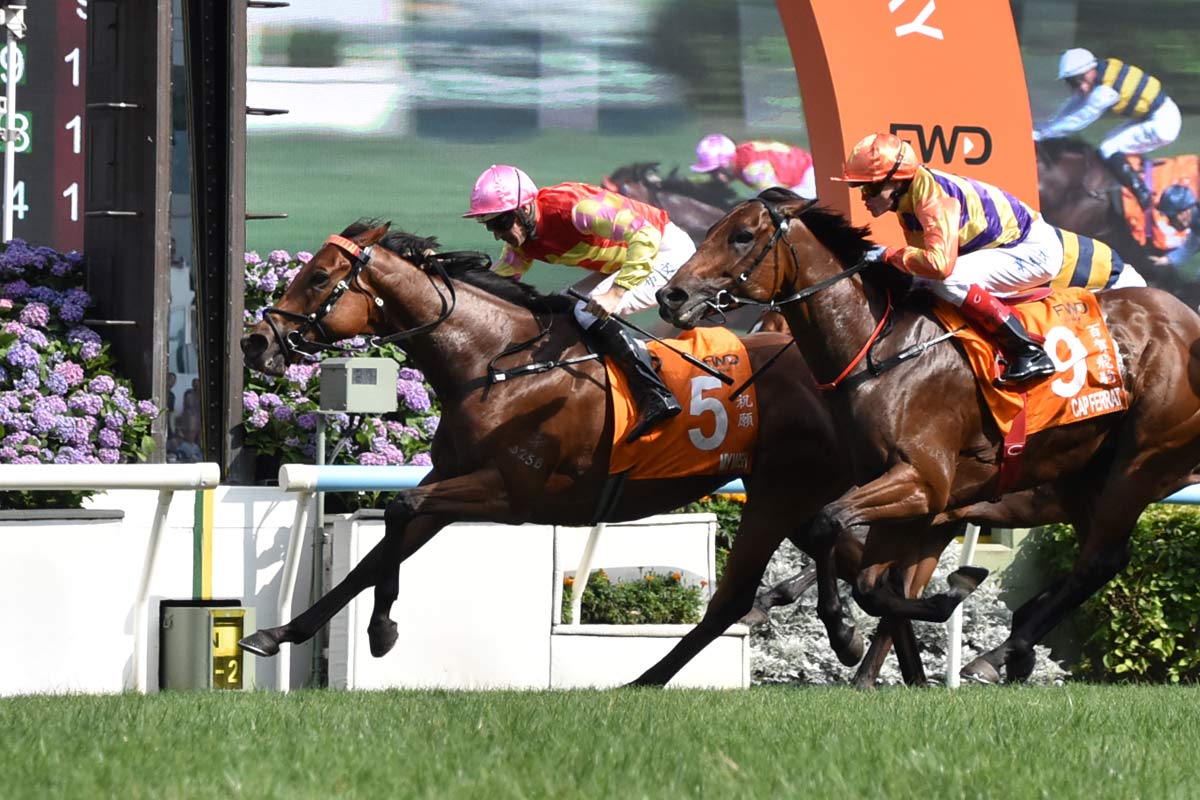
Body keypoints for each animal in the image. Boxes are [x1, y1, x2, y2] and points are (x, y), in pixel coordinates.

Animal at [236, 219, 914, 687]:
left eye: (319, 277)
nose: (255, 340)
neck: (493, 362)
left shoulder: (512, 492)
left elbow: (398, 517)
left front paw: (379, 631)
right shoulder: (452, 484)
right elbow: (379, 551)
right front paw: (280, 632)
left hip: (789, 492)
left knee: (818, 570)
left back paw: (842, 640)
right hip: (787, 496)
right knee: (846, 570)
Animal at [657, 188, 1200, 684]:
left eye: (743, 235)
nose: (671, 296)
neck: (880, 347)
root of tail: (1185, 320)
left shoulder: (923, 482)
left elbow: (832, 530)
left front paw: (844, 635)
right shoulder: (911, 500)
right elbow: (872, 582)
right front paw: (903, 624)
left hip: (1141, 461)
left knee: (1098, 560)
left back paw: (997, 654)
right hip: (1085, 480)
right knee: (1100, 560)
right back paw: (1009, 646)